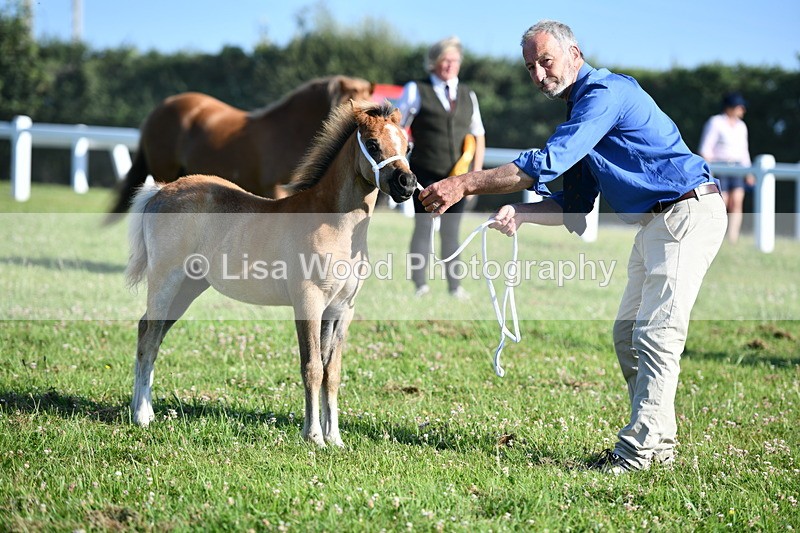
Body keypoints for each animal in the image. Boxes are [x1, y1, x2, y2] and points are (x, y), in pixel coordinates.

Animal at [125, 100, 417, 447]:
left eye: (407, 146)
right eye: (372, 144)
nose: (407, 184)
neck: (334, 226)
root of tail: (159, 192)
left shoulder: (341, 309)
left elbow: (332, 373)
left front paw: (335, 438)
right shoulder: (308, 303)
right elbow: (312, 367)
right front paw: (314, 436)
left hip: (187, 289)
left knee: (150, 333)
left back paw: (144, 411)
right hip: (165, 281)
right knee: (149, 340)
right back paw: (141, 416)